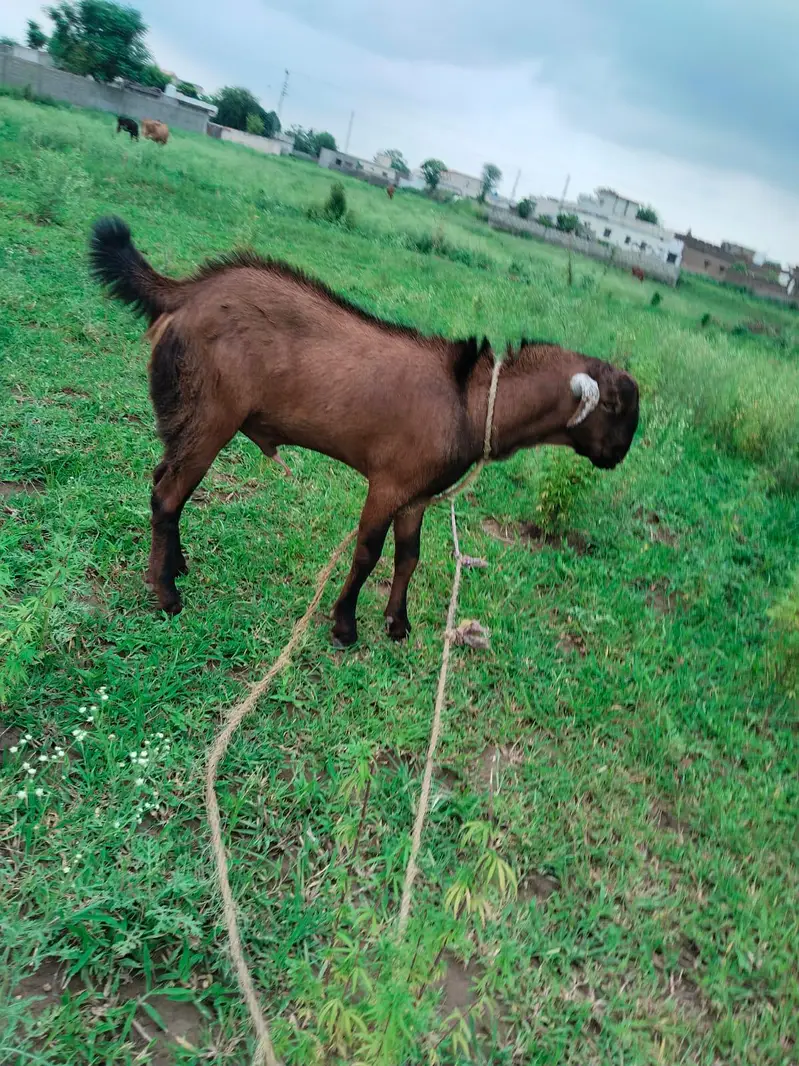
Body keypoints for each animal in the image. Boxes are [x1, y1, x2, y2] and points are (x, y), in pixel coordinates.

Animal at [89, 217, 640, 646]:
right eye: (615, 408)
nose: (616, 455)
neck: (470, 398)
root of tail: (187, 290)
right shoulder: (389, 482)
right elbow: (367, 552)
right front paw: (344, 626)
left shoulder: (418, 495)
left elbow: (409, 557)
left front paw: (397, 623)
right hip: (210, 416)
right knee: (168, 495)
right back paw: (166, 593)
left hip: (186, 415)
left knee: (163, 481)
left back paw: (175, 565)